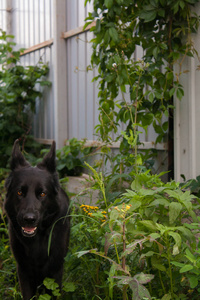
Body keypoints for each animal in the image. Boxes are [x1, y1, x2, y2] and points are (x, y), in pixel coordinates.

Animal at [4, 141, 70, 300]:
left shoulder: (55, 272)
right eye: (19, 192)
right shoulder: (23, 271)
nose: (29, 219)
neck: (38, 238)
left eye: (42, 193)